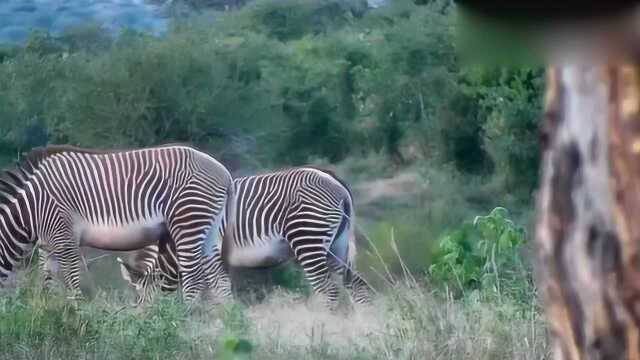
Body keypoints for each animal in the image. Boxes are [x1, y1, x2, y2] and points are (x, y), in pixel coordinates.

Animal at [0, 143, 234, 300]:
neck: (30, 208)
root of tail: (225, 173)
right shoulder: (47, 245)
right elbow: (49, 282)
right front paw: (50, 310)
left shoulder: (64, 238)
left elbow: (73, 282)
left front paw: (77, 318)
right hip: (208, 230)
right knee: (219, 278)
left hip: (187, 223)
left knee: (194, 279)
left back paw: (184, 323)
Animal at [117, 167, 372, 308]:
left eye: (140, 299)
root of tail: (333, 179)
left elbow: (212, 295)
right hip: (337, 246)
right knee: (357, 287)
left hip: (308, 240)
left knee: (328, 291)